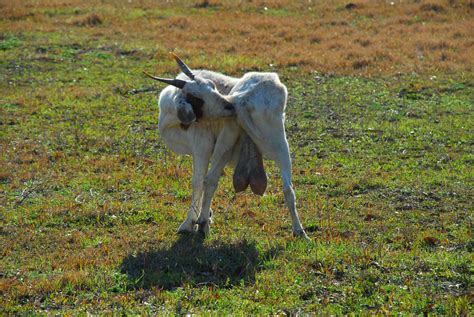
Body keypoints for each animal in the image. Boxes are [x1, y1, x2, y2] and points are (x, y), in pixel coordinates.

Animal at [144, 53, 308, 238]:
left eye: (212, 86)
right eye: (196, 98)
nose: (229, 106)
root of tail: (243, 99)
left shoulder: (201, 147)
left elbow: (197, 182)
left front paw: (189, 223)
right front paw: (202, 218)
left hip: (269, 141)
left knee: (210, 180)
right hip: (257, 144)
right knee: (287, 188)